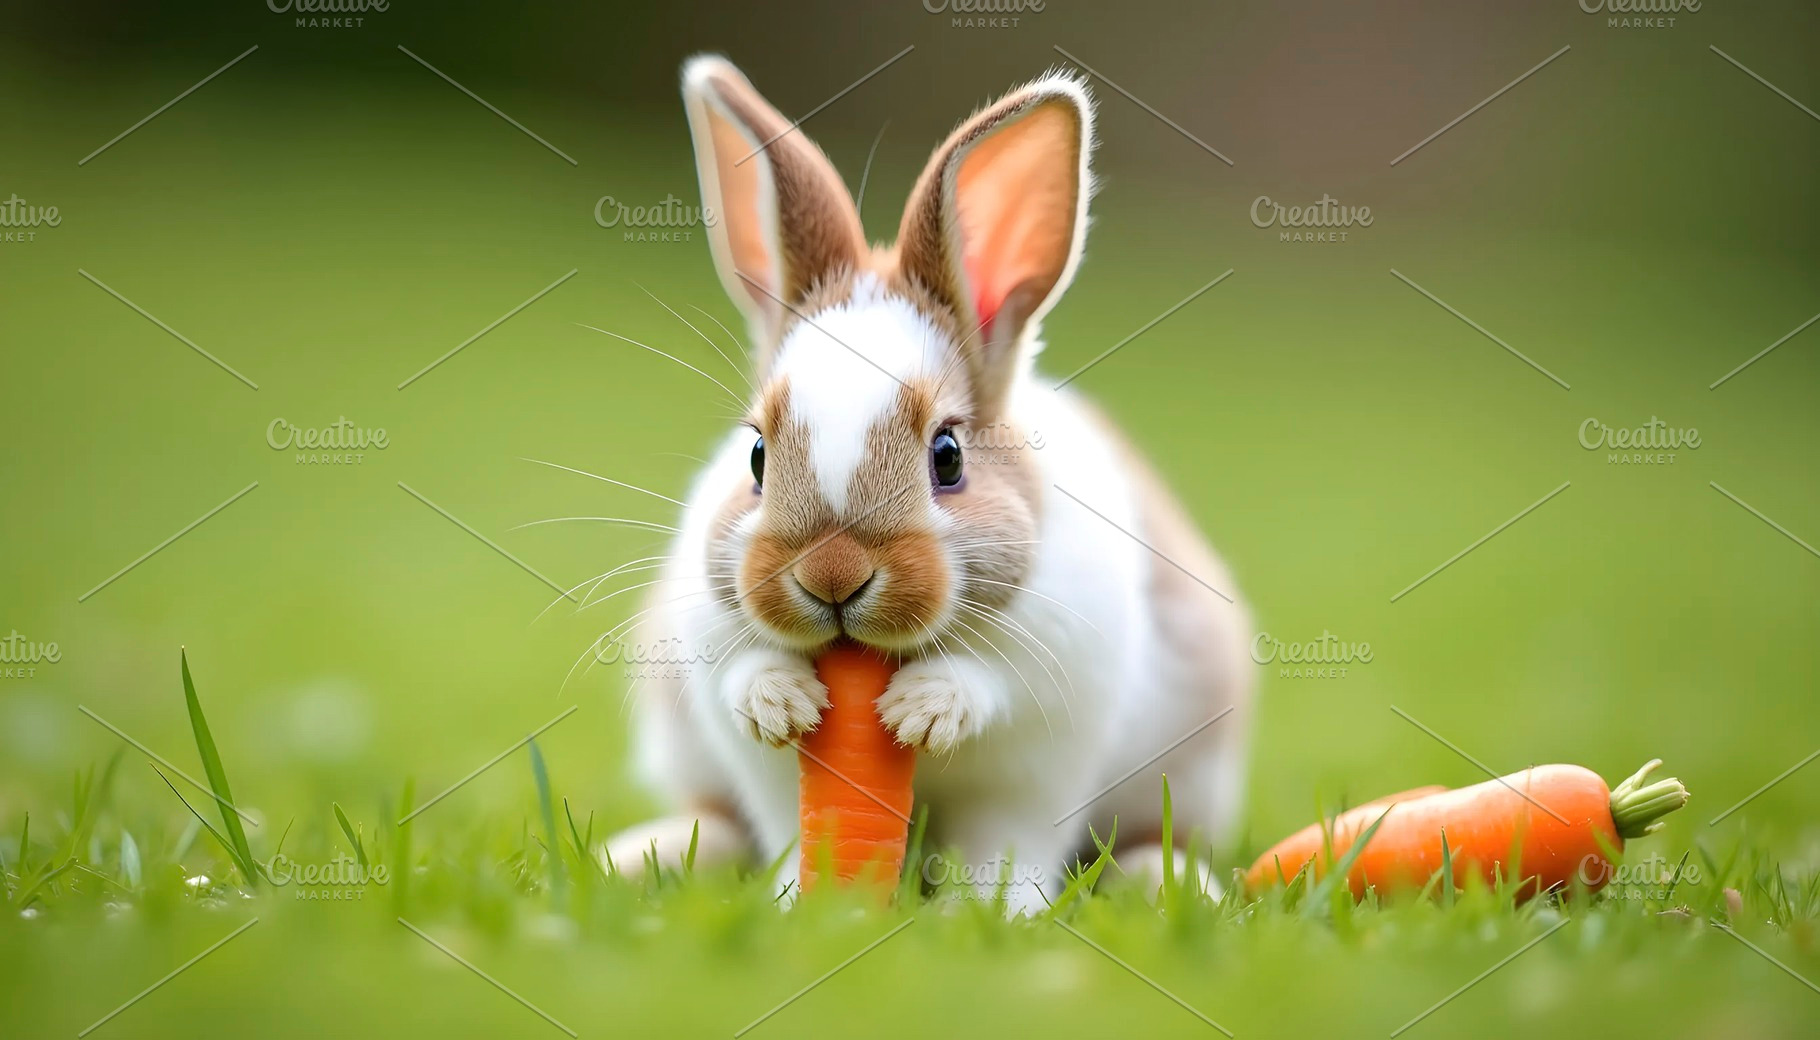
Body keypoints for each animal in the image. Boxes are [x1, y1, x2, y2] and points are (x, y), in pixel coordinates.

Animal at [601, 55, 1253, 915]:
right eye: (756, 458)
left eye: (947, 456)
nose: (832, 575)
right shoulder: (717, 672)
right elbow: (752, 712)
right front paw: (781, 705)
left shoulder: (1044, 723)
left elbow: (992, 705)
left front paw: (928, 723)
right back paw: (646, 856)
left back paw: (1164, 883)